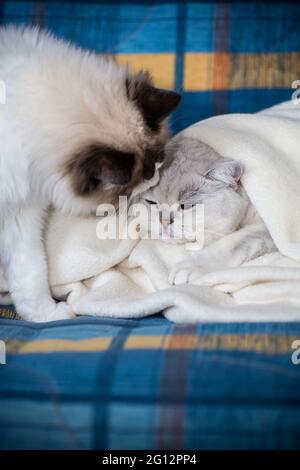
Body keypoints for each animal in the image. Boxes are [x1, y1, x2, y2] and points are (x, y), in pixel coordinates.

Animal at [0, 24, 180, 320]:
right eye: (136, 181)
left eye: (157, 163)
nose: (153, 178)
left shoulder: (21, 217)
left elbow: (31, 277)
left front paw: (50, 316)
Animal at [141, 134, 276, 284]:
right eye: (151, 202)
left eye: (186, 206)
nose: (163, 222)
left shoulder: (265, 230)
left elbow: (228, 245)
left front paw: (187, 268)